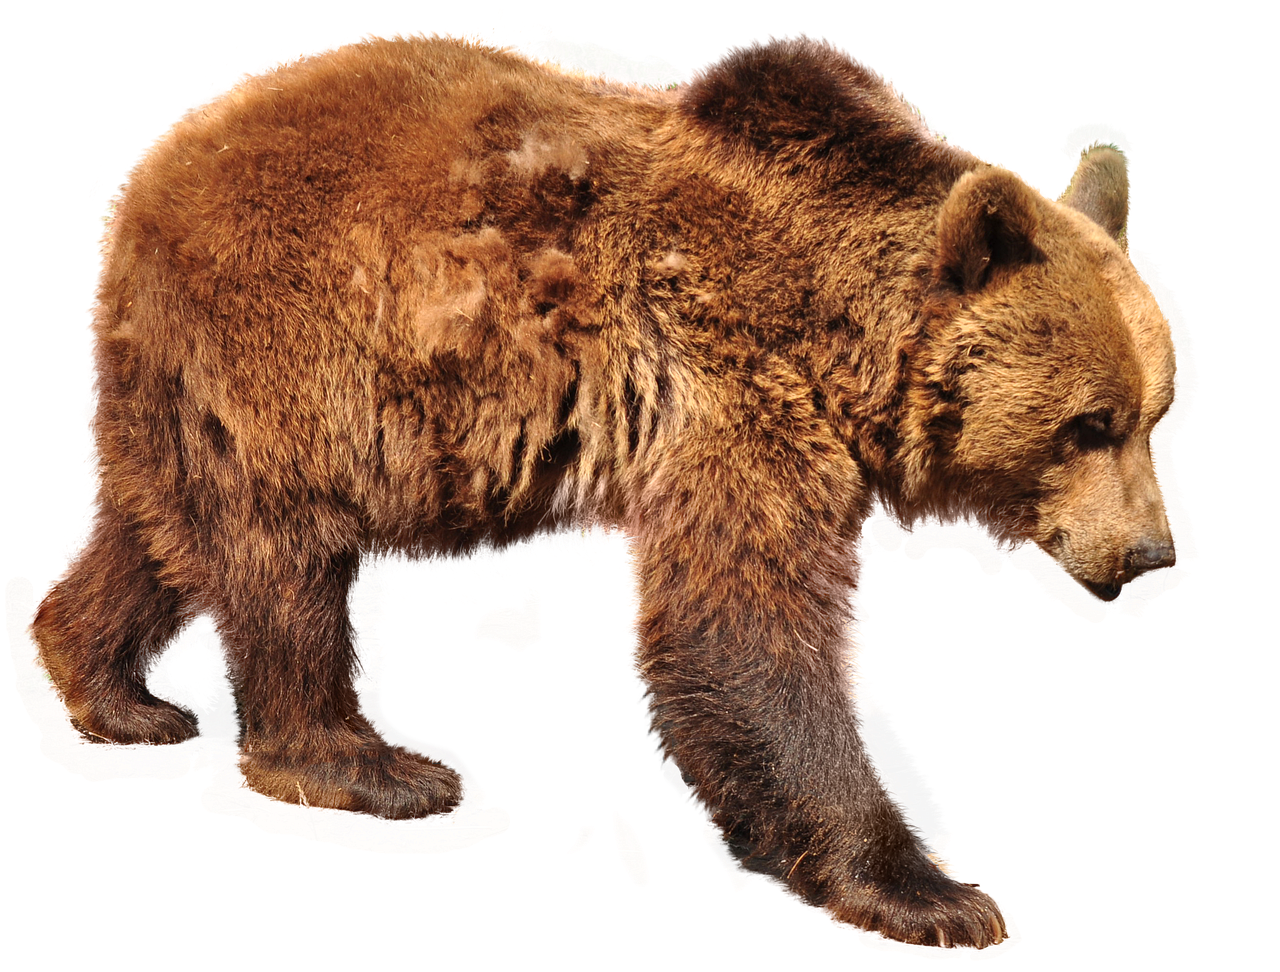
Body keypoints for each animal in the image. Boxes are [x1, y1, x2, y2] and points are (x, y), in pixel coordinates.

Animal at [34, 32, 1177, 949]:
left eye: (1154, 411)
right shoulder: (734, 382)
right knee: (287, 558)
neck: (839, 331)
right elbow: (741, 622)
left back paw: (114, 691)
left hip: (185, 382)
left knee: (156, 529)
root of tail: (152, 167)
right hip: (295, 339)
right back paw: (371, 764)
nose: (1150, 553)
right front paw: (931, 893)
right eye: (1088, 422)